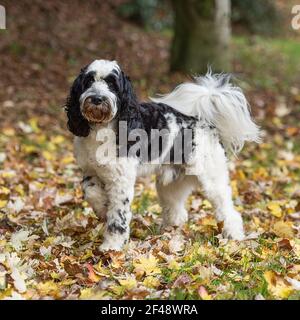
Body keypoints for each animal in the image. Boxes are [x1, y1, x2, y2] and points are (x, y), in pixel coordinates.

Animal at [65, 58, 260, 251]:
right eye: (89, 81)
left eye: (112, 84)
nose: (97, 98)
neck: (102, 130)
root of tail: (204, 122)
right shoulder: (90, 171)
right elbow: (91, 192)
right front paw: (103, 207)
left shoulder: (121, 181)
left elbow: (118, 217)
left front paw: (112, 246)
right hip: (171, 183)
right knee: (177, 211)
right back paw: (168, 231)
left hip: (212, 180)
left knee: (228, 210)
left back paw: (234, 236)